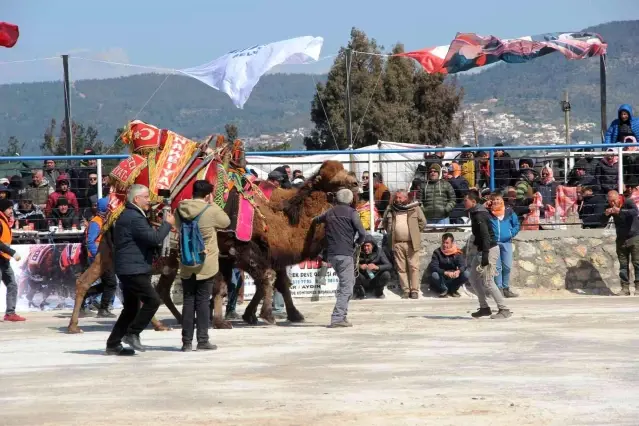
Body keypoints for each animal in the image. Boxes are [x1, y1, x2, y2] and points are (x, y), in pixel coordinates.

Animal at [70, 120, 360, 332]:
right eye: (333, 179)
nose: (357, 182)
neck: (274, 215)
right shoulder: (238, 247)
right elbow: (264, 279)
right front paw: (261, 316)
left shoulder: (235, 254)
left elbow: (264, 282)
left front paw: (241, 317)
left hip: (119, 252)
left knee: (100, 281)